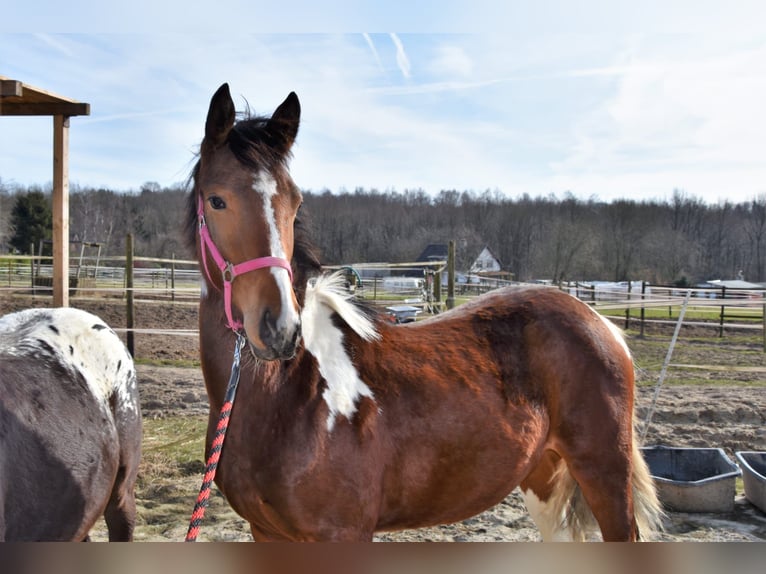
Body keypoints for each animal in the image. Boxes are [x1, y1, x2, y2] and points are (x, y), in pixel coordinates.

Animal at [189, 82, 664, 544]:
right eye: (216, 200)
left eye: (296, 202)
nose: (279, 329)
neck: (292, 391)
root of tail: (600, 323)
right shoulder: (266, 532)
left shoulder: (343, 533)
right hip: (543, 474)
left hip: (604, 471)